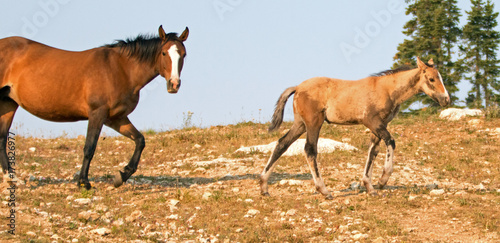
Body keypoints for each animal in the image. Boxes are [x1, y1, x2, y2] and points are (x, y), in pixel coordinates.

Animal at [0, 26, 188, 190]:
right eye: (164, 53)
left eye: (184, 54)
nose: (174, 84)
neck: (121, 69)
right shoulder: (97, 113)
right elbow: (89, 147)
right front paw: (84, 182)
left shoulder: (116, 118)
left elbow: (140, 140)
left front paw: (121, 176)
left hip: (8, 103)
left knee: (2, 138)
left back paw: (11, 178)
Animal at [260, 57, 452, 199]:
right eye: (431, 79)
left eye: (441, 78)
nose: (446, 100)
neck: (387, 90)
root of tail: (298, 87)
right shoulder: (372, 122)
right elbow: (391, 141)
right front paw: (382, 180)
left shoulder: (379, 126)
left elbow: (373, 151)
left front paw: (369, 187)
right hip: (314, 123)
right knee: (310, 149)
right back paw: (324, 191)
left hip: (300, 124)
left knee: (282, 144)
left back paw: (264, 187)